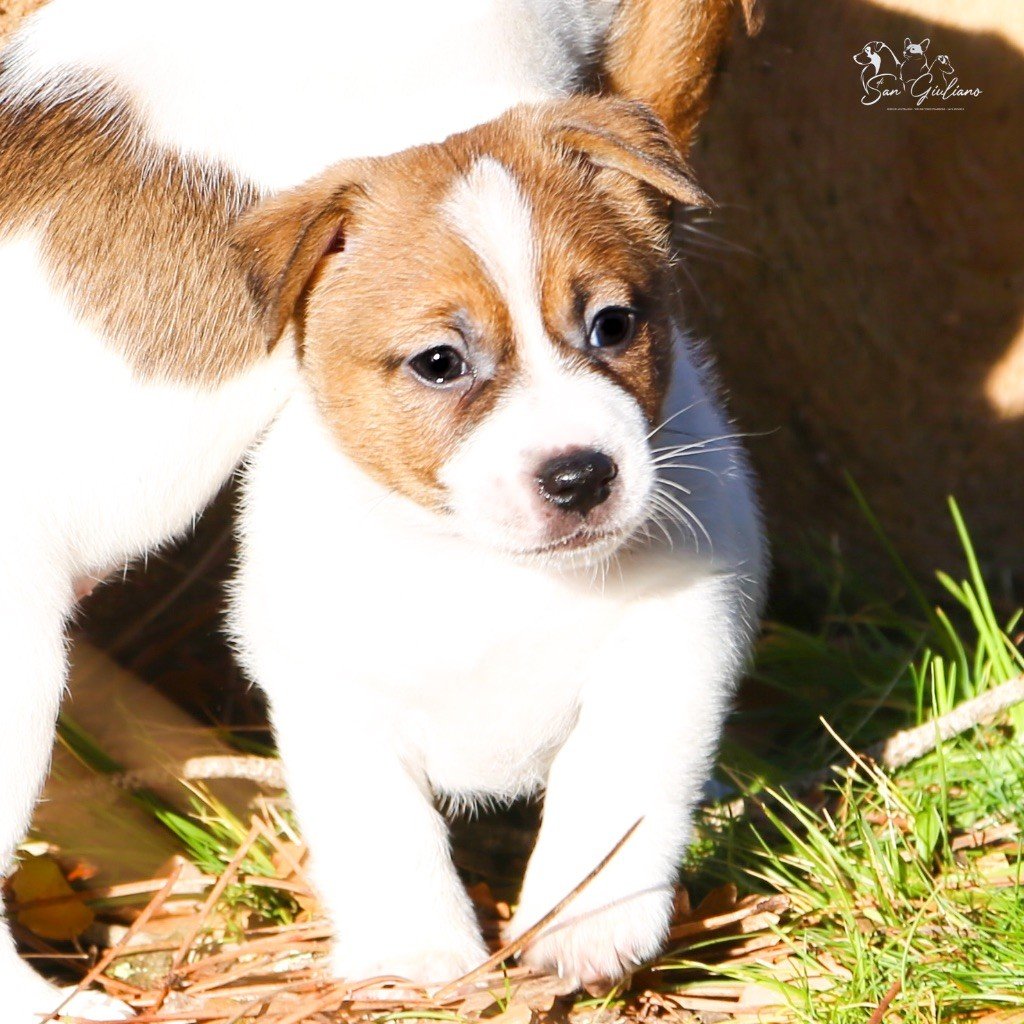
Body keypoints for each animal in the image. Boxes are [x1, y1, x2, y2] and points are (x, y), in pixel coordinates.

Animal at [0, 0, 765, 1015]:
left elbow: (620, 778)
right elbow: (384, 828)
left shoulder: (676, 635)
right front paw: (421, 957)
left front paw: (582, 921)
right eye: (439, 364)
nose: (580, 479)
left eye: (614, 327)